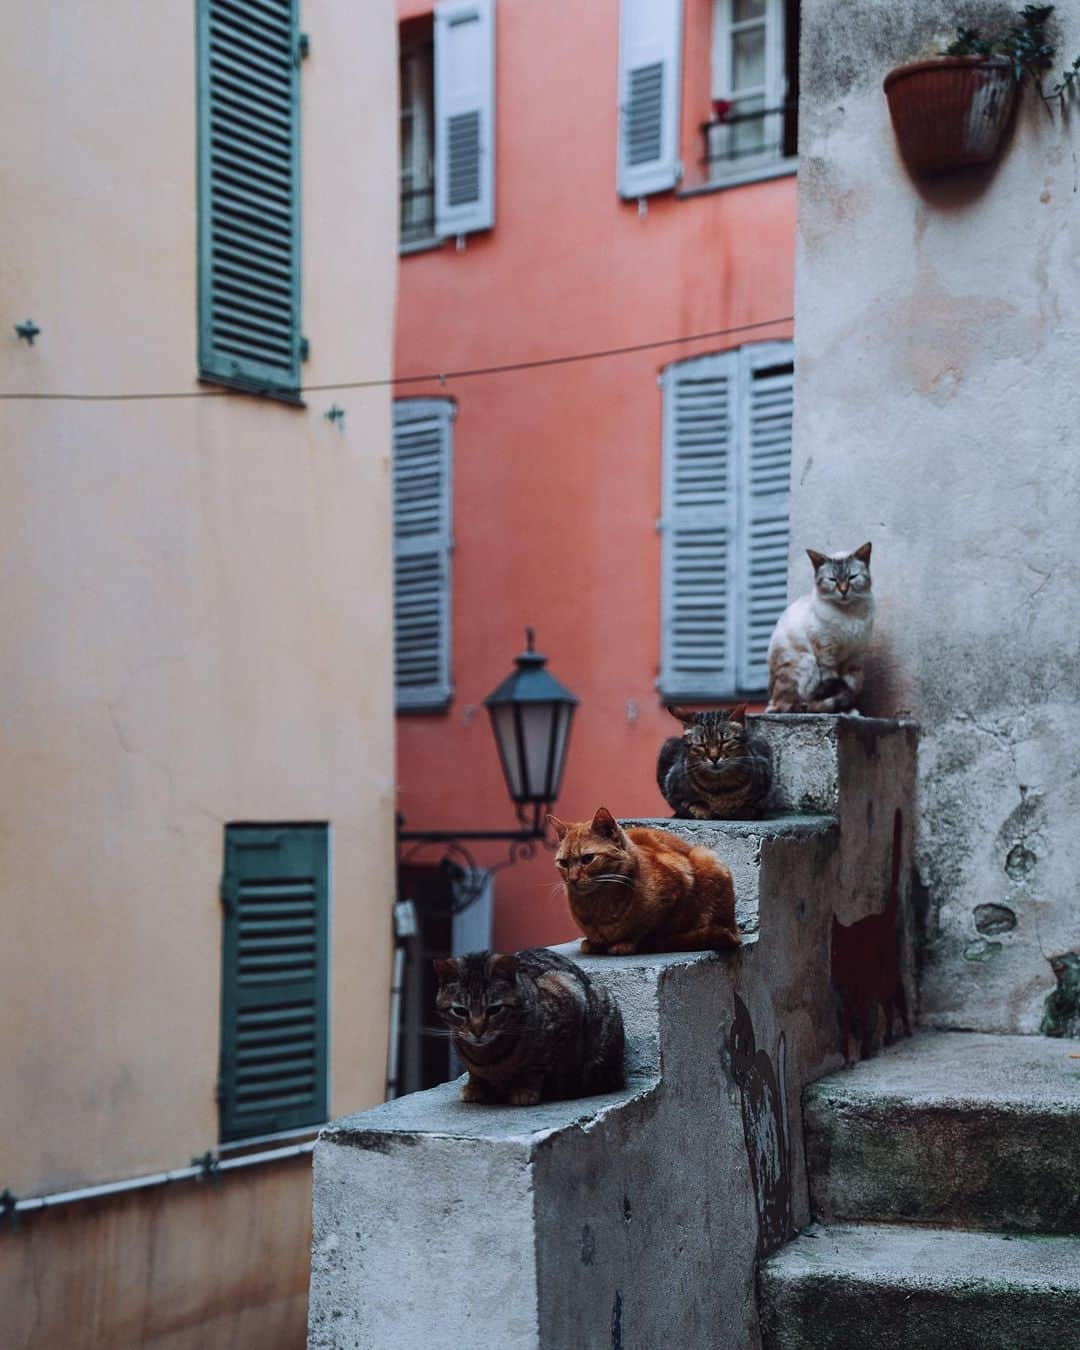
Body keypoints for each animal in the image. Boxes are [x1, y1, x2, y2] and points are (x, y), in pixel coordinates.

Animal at [432, 945, 623, 1101]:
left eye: (494, 1009)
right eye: (460, 1011)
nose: (477, 1031)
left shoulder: (567, 998)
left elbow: (536, 1066)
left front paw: (525, 1090)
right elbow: (473, 1071)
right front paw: (474, 1086)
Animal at [548, 804, 745, 955]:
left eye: (588, 859)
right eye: (563, 863)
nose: (572, 879)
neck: (599, 907)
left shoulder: (679, 887)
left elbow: (652, 931)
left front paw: (628, 943)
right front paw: (594, 943)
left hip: (706, 857)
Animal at [761, 540, 874, 718]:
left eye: (852, 577)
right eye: (832, 580)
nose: (843, 591)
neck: (848, 614)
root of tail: (770, 701)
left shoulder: (854, 660)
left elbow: (850, 687)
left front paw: (849, 710)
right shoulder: (826, 656)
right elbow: (836, 687)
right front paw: (843, 710)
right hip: (807, 662)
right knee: (789, 706)